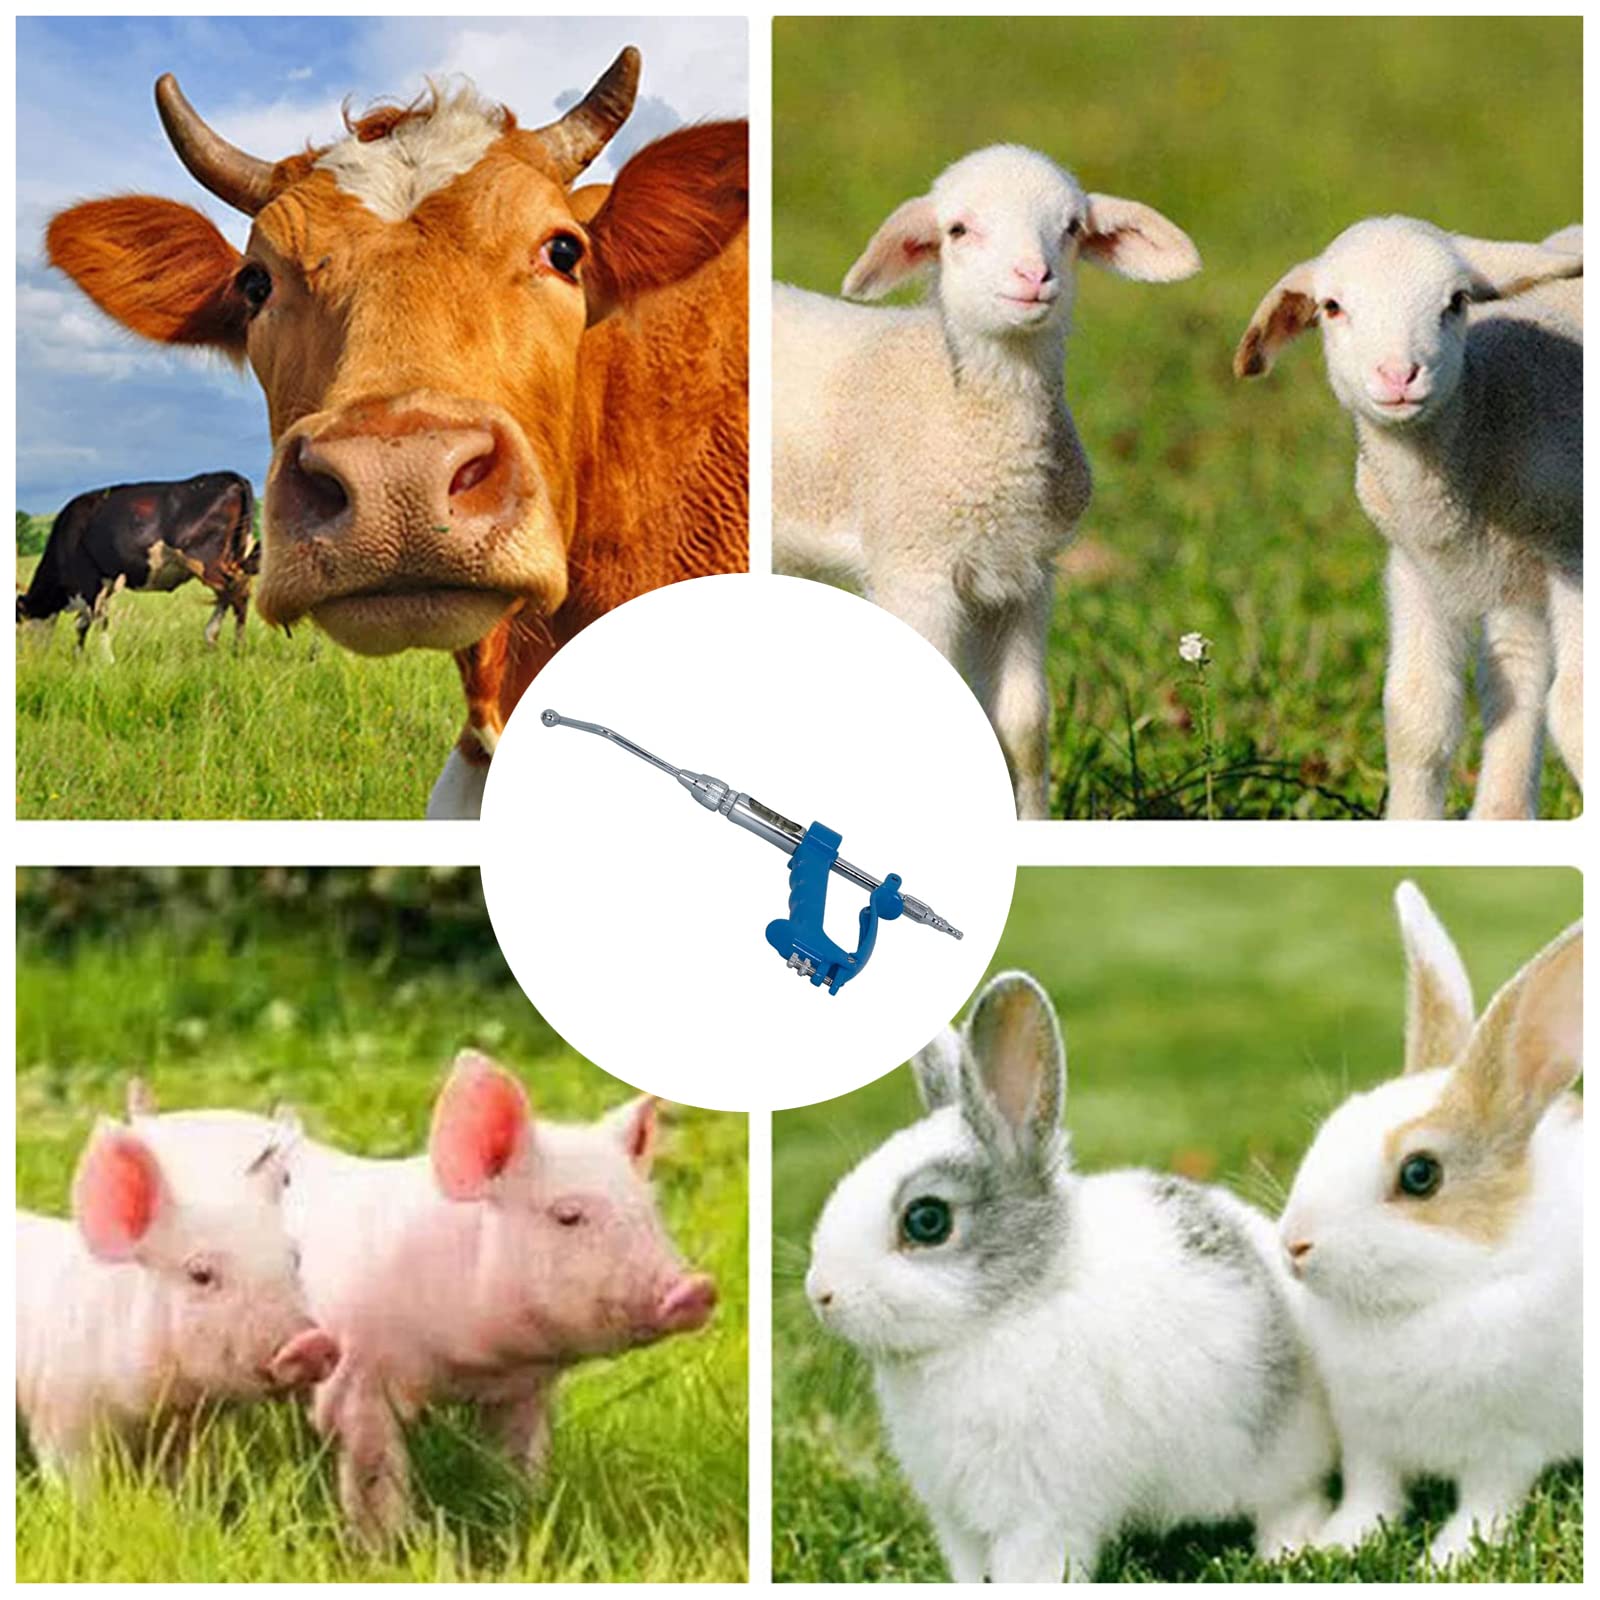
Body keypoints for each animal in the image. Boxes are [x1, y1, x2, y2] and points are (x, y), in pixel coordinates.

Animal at [773, 145, 1201, 818]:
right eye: (957, 230)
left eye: (1072, 228)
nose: (1034, 276)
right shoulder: (914, 566)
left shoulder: (1025, 577)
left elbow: (1025, 727)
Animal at [1235, 216, 1582, 820]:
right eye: (1331, 307)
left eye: (1457, 301)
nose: (1399, 375)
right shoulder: (1416, 565)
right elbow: (1416, 715)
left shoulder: (1574, 554)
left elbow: (1579, 714)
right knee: (1513, 680)